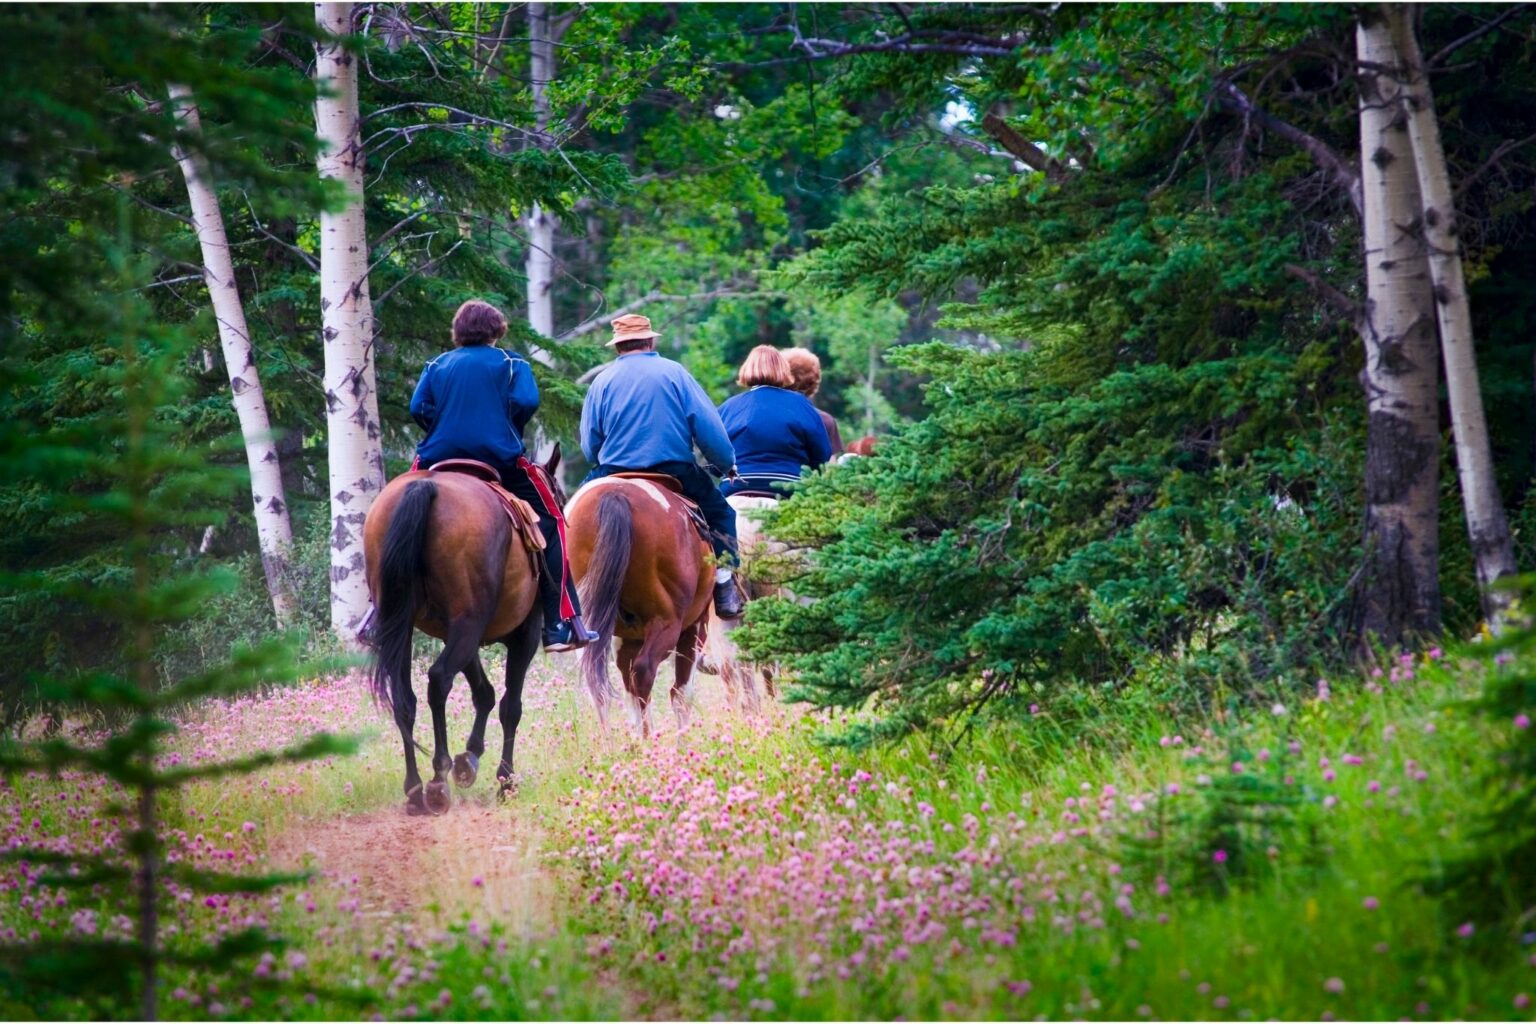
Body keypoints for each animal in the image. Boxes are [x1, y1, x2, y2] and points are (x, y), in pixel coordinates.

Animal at [362, 449, 565, 815]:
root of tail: (425, 487)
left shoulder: (456, 632)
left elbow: (483, 693)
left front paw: (469, 759)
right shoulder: (523, 635)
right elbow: (510, 706)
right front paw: (505, 782)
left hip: (408, 624)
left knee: (404, 697)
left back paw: (415, 789)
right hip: (469, 623)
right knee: (439, 679)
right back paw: (438, 779)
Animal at [565, 474, 713, 736]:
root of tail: (615, 495)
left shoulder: (626, 640)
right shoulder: (696, 625)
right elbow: (682, 695)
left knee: (599, 686)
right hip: (667, 622)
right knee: (645, 674)